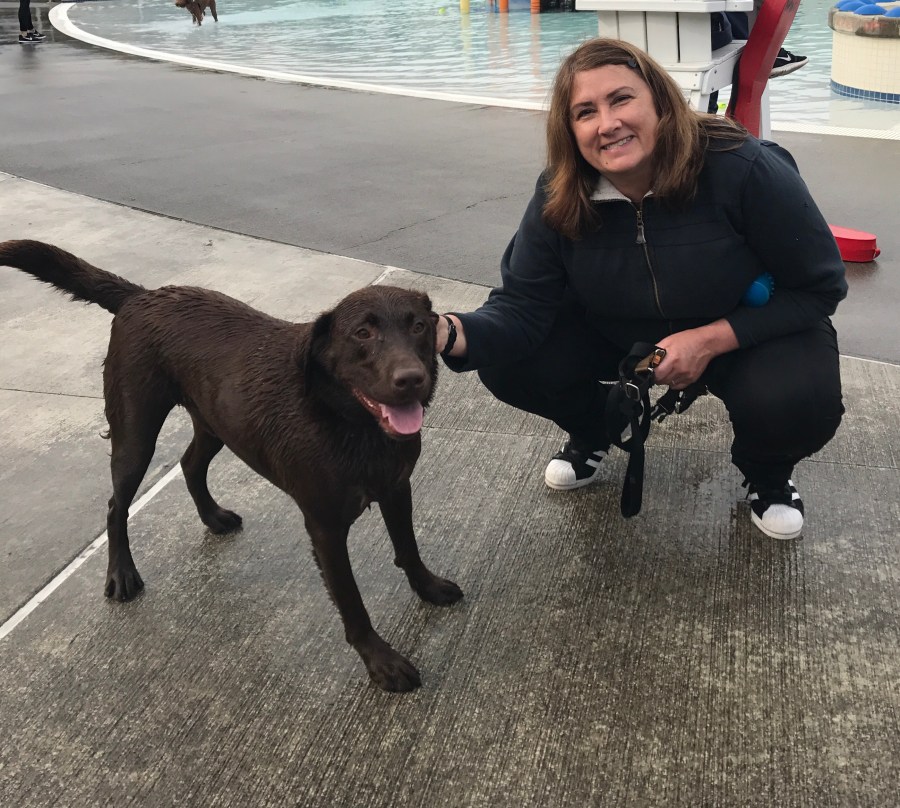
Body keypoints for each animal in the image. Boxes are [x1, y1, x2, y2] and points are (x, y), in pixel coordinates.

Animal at [0, 240, 462, 692]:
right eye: (362, 333)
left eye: (419, 326)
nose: (411, 379)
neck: (349, 423)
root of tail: (141, 295)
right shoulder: (325, 526)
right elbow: (352, 600)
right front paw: (380, 661)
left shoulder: (397, 488)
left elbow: (408, 547)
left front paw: (428, 588)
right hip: (135, 433)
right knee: (117, 504)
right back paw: (122, 574)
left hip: (216, 422)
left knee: (189, 464)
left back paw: (212, 516)